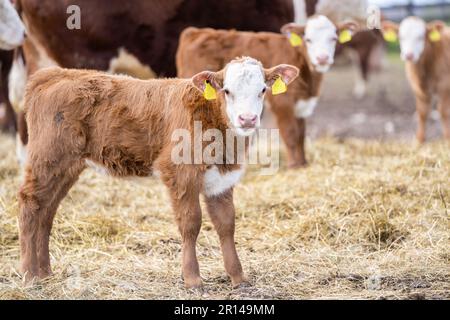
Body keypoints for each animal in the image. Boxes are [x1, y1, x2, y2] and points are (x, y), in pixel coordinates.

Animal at [18, 57, 298, 288]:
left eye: (262, 90)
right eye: (227, 91)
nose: (247, 119)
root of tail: (55, 73)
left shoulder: (222, 180)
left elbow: (226, 224)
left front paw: (238, 277)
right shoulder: (180, 172)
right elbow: (191, 223)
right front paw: (192, 279)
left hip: (66, 167)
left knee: (47, 211)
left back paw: (45, 272)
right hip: (49, 158)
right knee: (30, 204)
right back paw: (29, 275)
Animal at [178, 15, 356, 168]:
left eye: (333, 39)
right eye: (308, 40)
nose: (322, 58)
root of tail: (196, 31)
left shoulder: (301, 105)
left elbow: (301, 134)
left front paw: (303, 163)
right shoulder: (283, 102)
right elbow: (291, 133)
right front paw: (294, 166)